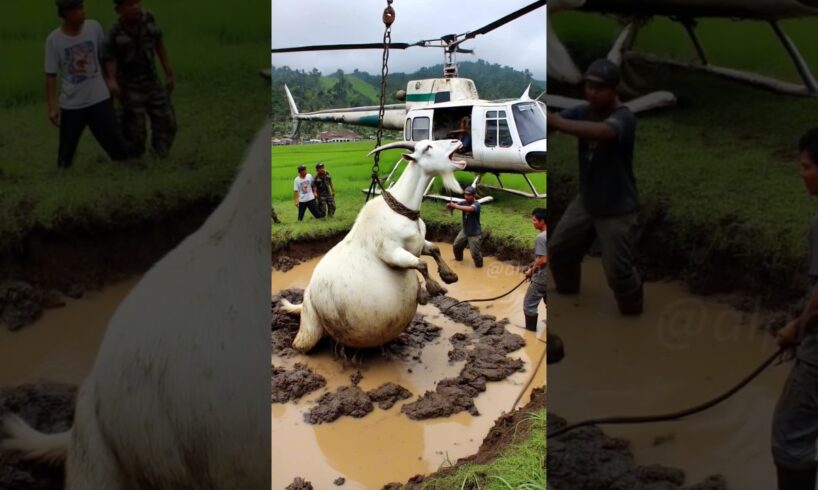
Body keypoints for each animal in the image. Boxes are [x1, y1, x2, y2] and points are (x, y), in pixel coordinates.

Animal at [280, 140, 462, 350]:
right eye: (427, 148)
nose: (457, 142)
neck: (402, 211)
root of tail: (306, 296)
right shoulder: (390, 251)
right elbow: (420, 263)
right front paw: (432, 290)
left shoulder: (417, 244)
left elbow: (434, 249)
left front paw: (449, 276)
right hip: (310, 325)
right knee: (302, 344)